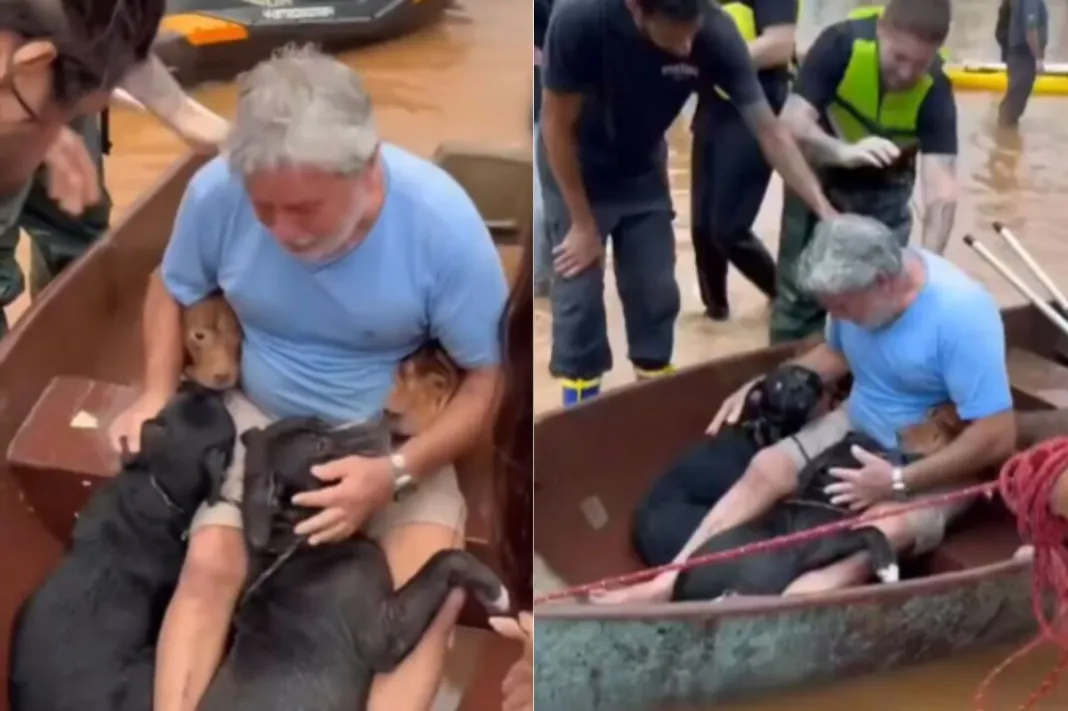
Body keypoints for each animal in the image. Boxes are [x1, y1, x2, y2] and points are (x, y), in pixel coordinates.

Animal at [197, 416, 512, 708]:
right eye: (319, 446)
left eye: (320, 420)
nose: (382, 418)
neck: (293, 544)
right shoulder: (385, 632)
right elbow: (445, 558)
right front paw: (494, 590)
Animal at [674, 429, 901, 602]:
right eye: (859, 461)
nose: (892, 456)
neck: (820, 499)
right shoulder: (820, 544)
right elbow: (870, 530)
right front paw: (888, 567)